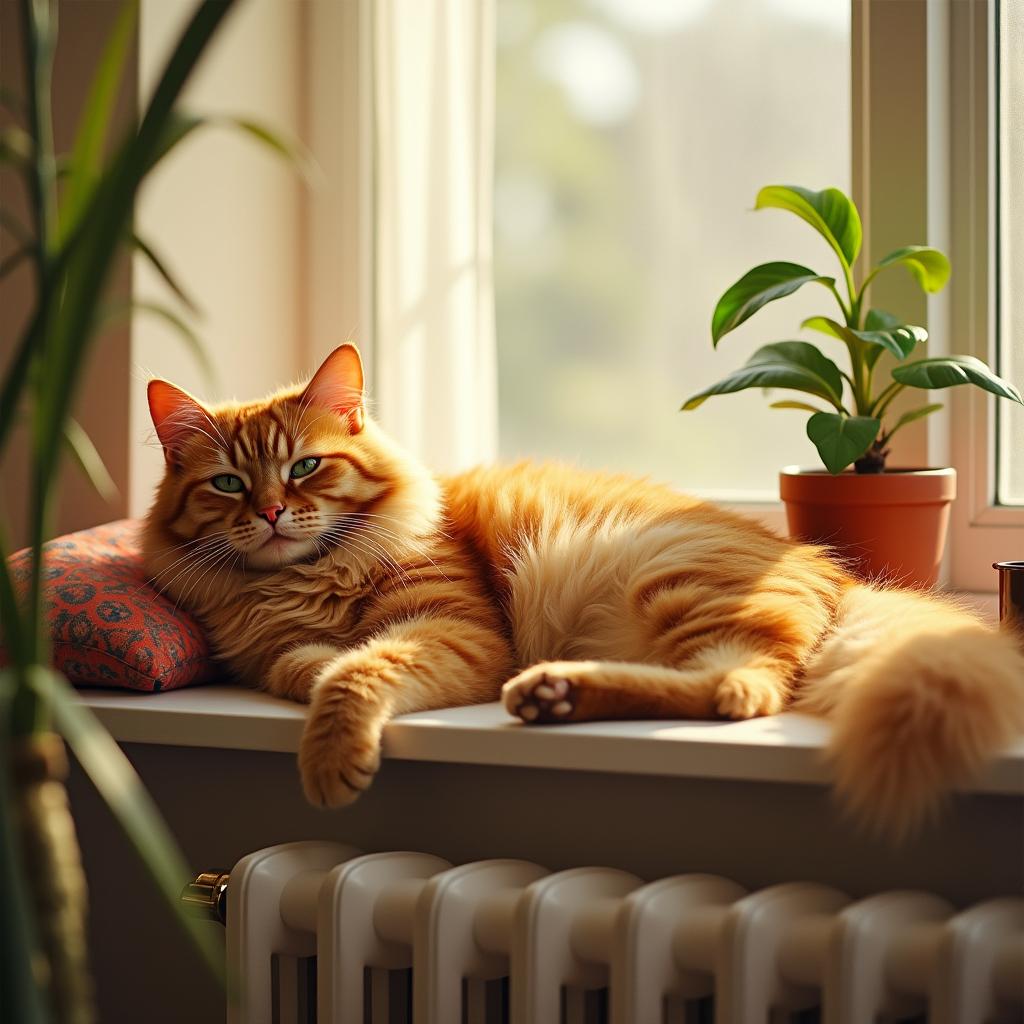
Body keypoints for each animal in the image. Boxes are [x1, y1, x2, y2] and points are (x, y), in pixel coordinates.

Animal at [142, 344, 1024, 831]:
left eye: (305, 467)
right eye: (227, 484)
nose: (271, 512)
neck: (306, 579)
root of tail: (834, 573)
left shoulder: (458, 633)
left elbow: (355, 670)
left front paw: (331, 757)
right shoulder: (266, 652)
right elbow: (306, 664)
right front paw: (317, 667)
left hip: (668, 581)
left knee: (743, 688)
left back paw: (553, 694)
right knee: (725, 684)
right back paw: (555, 696)